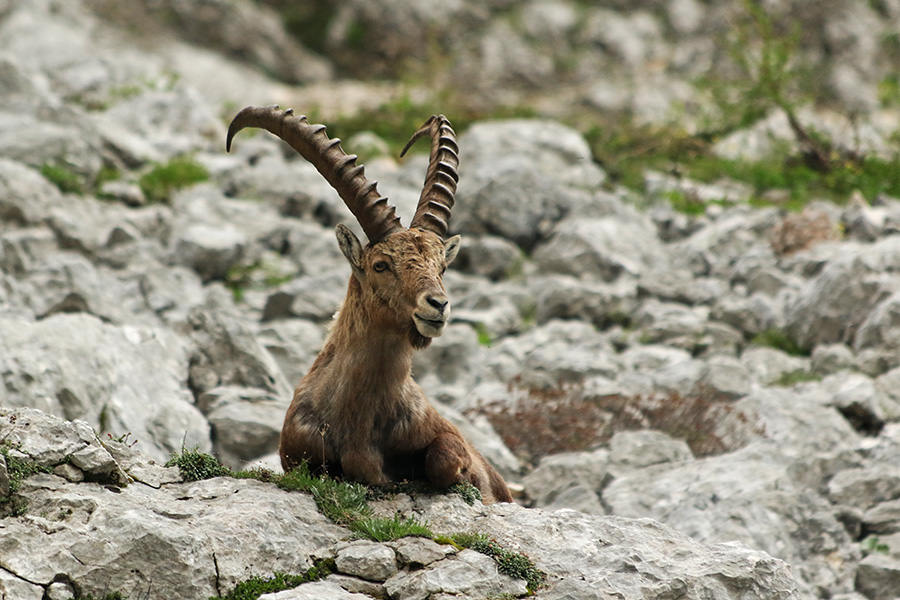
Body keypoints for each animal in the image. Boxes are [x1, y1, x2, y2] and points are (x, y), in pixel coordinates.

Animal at [227, 106, 512, 503]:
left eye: (441, 266)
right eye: (381, 265)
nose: (437, 305)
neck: (358, 418)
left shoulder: (444, 434)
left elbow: (442, 457)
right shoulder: (296, 452)